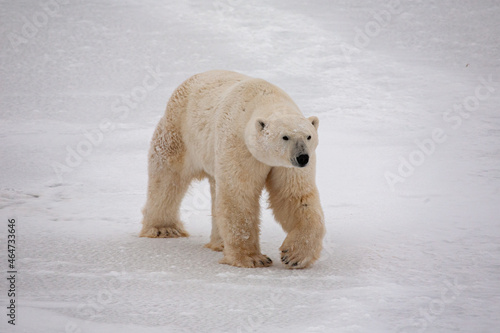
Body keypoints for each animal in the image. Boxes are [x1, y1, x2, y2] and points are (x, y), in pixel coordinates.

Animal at [141, 70, 326, 268]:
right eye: (285, 137)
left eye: (308, 136)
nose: (302, 157)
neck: (265, 98)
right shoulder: (239, 146)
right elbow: (238, 195)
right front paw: (253, 258)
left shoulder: (286, 167)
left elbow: (295, 196)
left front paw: (294, 255)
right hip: (179, 132)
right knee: (167, 178)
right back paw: (164, 228)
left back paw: (219, 243)